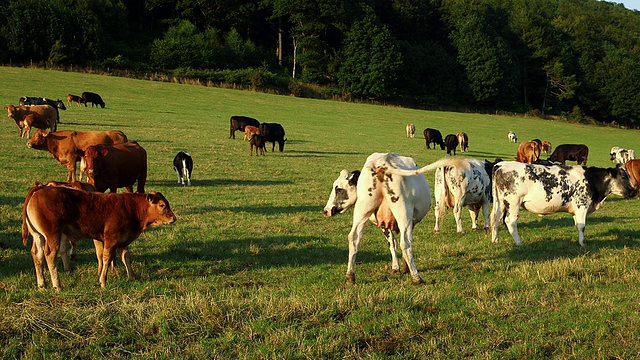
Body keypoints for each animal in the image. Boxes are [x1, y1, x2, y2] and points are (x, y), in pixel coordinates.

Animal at [22, 186, 176, 290]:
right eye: (162, 205)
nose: (173, 218)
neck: (130, 207)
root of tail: (39, 189)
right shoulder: (111, 240)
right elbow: (106, 259)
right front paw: (102, 281)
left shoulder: (123, 241)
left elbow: (126, 257)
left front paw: (132, 277)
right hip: (52, 234)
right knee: (50, 255)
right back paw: (57, 285)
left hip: (38, 236)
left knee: (37, 255)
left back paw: (42, 284)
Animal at [322, 152, 432, 284]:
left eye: (338, 189)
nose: (326, 210)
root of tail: (381, 162)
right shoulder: (409, 221)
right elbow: (400, 243)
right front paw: (404, 268)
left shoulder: (385, 224)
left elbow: (391, 243)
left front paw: (397, 268)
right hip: (403, 212)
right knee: (405, 243)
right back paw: (416, 277)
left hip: (362, 210)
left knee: (353, 238)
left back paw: (350, 276)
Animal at [490, 162, 636, 246]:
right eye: (624, 177)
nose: (635, 191)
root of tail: (500, 165)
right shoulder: (582, 205)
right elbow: (582, 226)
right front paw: (583, 243)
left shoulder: (575, 210)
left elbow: (578, 225)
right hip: (513, 202)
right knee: (509, 221)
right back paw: (519, 243)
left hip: (500, 203)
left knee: (495, 219)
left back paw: (495, 240)